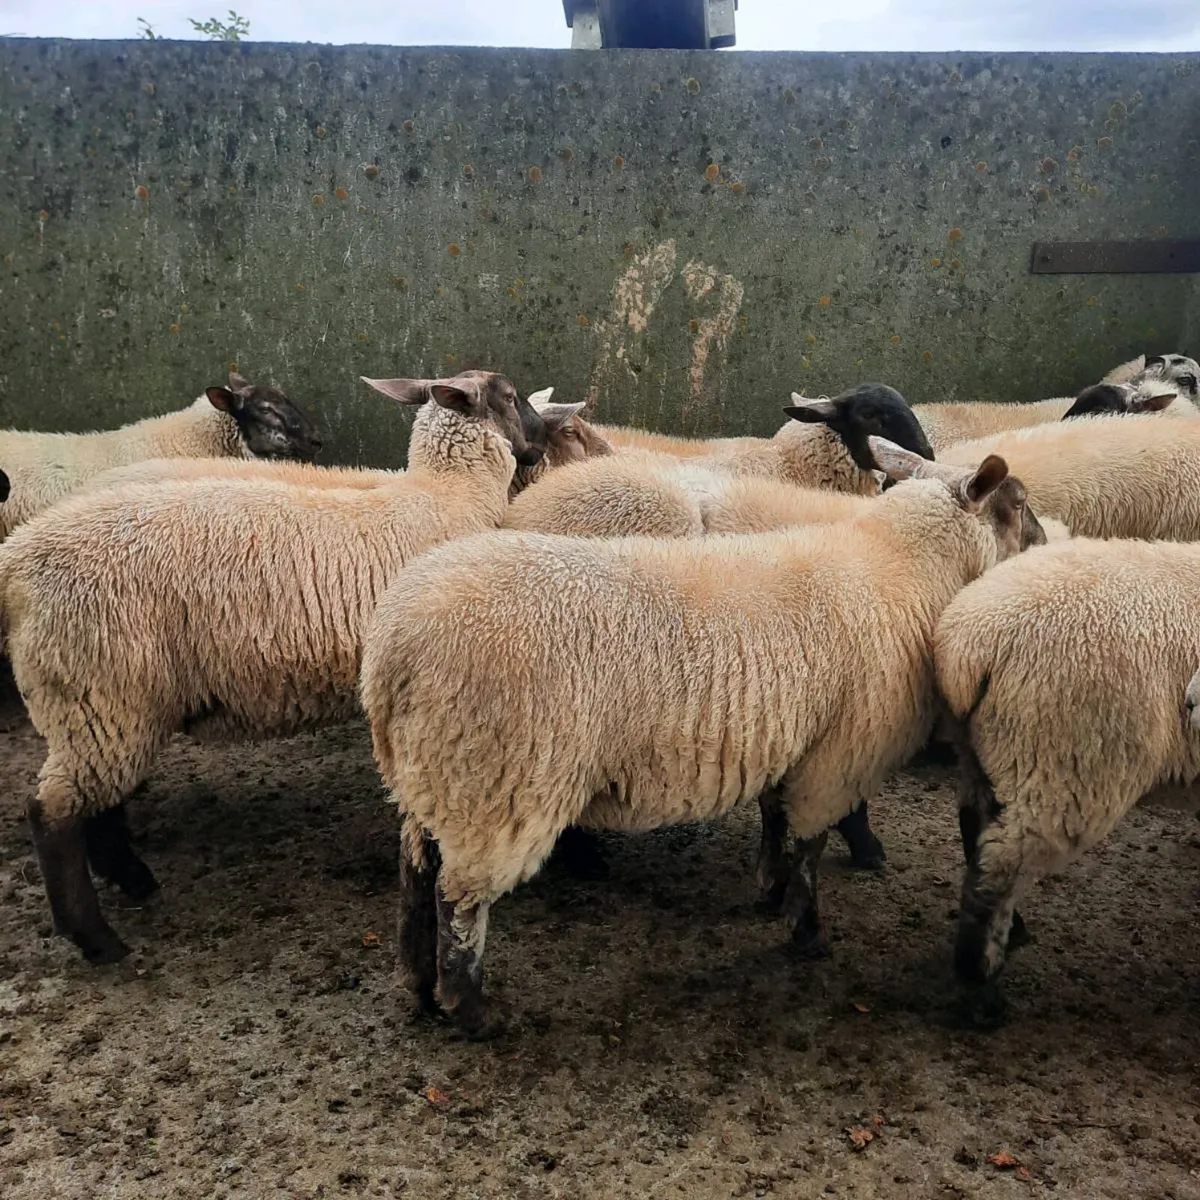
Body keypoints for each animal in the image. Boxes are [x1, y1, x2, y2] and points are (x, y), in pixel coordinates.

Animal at [358, 436, 1044, 1036]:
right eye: (1015, 504)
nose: (1044, 542)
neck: (901, 564)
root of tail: (391, 650)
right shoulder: (839, 755)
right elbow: (810, 846)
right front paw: (806, 930)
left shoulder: (791, 739)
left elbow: (777, 820)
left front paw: (770, 891)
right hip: (497, 781)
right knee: (459, 899)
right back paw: (471, 1010)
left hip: (438, 773)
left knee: (416, 871)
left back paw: (417, 985)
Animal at [934, 536, 1200, 1026]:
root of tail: (968, 643)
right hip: (1063, 764)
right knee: (1000, 865)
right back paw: (980, 985)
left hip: (987, 752)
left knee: (976, 829)